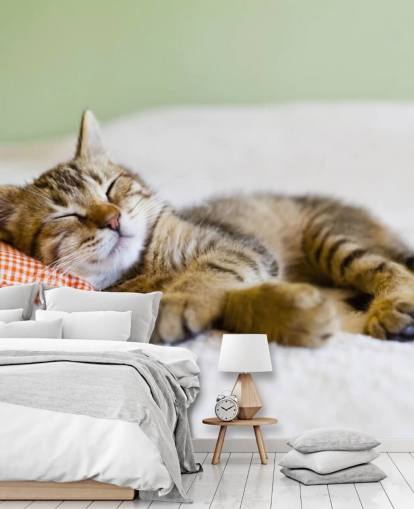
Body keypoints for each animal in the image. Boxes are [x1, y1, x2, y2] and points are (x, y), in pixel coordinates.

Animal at [1, 110, 414, 346]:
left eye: (111, 187)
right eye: (65, 215)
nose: (113, 218)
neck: (144, 269)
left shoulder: (237, 245)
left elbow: (210, 272)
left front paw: (180, 299)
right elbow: (231, 302)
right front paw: (292, 314)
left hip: (329, 236)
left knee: (393, 269)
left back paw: (391, 307)